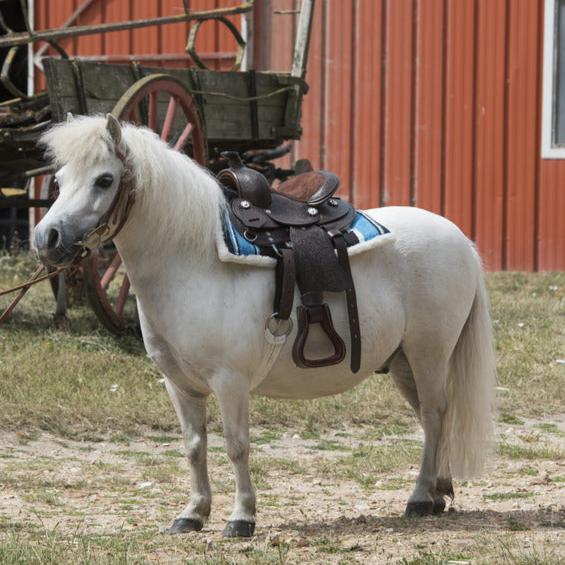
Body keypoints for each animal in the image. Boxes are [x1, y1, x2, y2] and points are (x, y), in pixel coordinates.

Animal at [34, 114, 494, 536]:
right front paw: (192, 514)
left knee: (434, 414)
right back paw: (438, 491)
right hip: (402, 362)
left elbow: (237, 446)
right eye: (58, 178)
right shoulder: (179, 384)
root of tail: (459, 238)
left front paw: (241, 518)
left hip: (429, 351)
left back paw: (419, 498)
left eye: (104, 180)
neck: (193, 261)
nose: (46, 238)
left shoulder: (230, 381)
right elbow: (194, 447)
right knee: (430, 417)